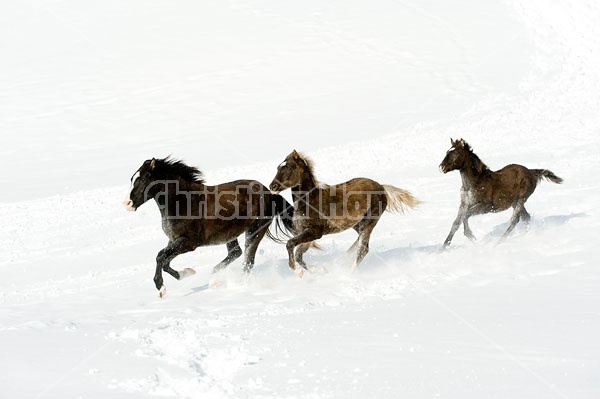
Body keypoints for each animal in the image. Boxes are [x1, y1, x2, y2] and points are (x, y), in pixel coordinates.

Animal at [270, 150, 420, 276]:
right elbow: (298, 255)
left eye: (290, 168)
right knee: (359, 242)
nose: (273, 186)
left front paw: (298, 272)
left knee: (363, 249)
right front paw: (321, 270)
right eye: (278, 167)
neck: (309, 201)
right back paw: (341, 260)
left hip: (369, 222)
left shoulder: (315, 232)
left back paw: (349, 273)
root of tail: (382, 187)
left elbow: (290, 245)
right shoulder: (306, 233)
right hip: (357, 224)